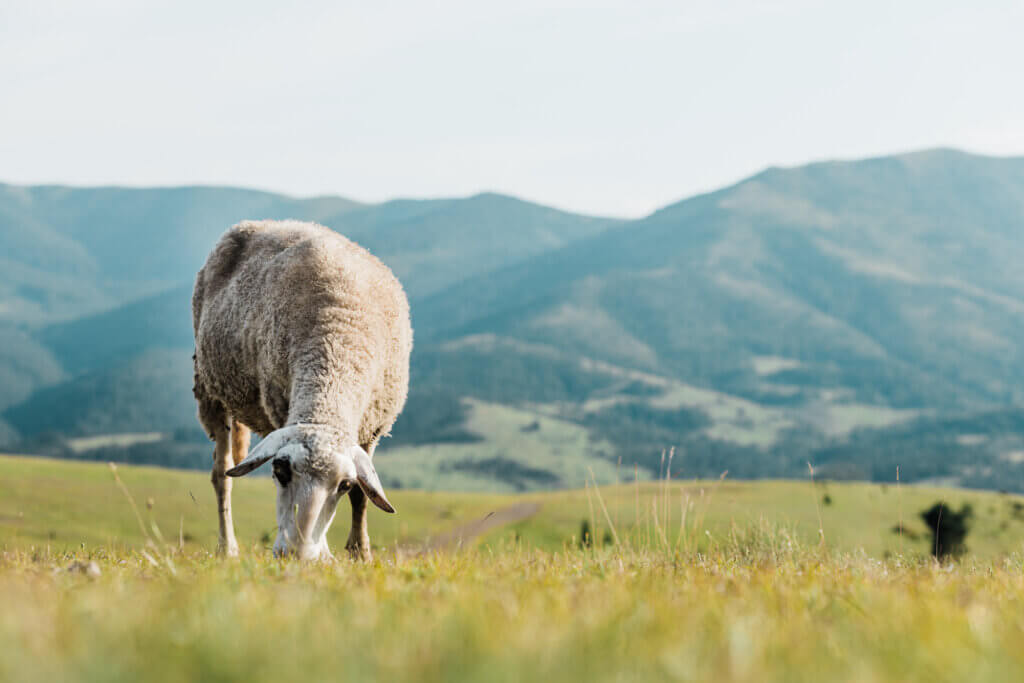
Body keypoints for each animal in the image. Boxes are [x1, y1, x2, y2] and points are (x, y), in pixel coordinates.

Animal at [192, 219, 411, 561]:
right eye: (280, 469)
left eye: (344, 485)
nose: (298, 553)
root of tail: (261, 223)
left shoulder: (372, 428)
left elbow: (364, 495)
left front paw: (360, 553)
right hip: (210, 389)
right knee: (221, 476)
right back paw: (227, 547)